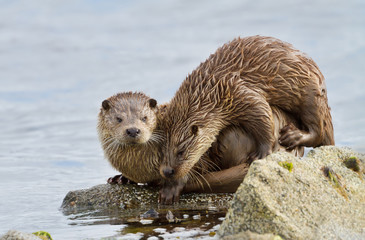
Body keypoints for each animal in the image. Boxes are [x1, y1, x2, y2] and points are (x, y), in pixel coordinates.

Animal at [158, 35, 334, 203]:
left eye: (181, 152)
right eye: (161, 151)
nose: (167, 171)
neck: (210, 91)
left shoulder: (240, 92)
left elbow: (263, 115)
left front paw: (261, 154)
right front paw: (172, 186)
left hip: (311, 93)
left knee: (319, 131)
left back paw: (293, 136)